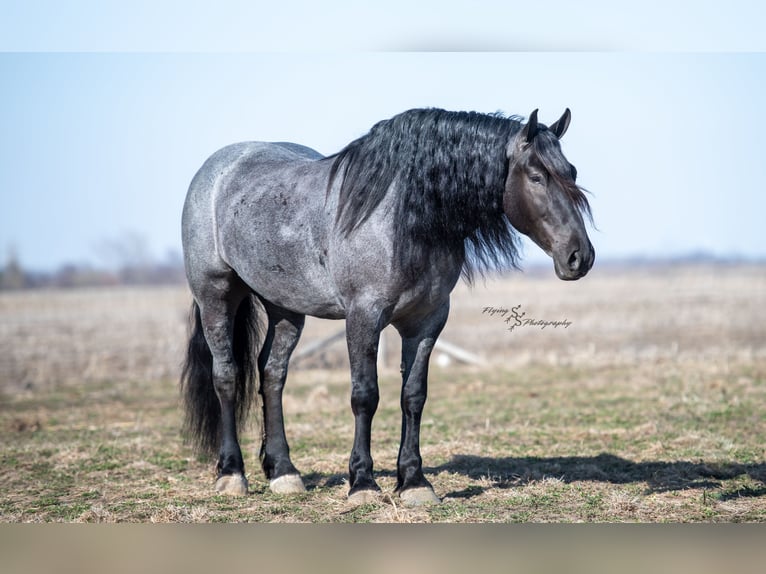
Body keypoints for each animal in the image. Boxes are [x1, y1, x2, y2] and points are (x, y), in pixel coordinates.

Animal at [180, 107, 594, 505]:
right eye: (537, 176)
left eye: (572, 172)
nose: (580, 257)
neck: (402, 219)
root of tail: (218, 168)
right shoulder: (363, 318)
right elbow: (365, 396)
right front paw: (362, 483)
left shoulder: (427, 321)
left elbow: (413, 396)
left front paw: (413, 481)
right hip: (216, 295)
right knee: (227, 376)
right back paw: (232, 474)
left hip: (285, 307)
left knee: (272, 374)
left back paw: (283, 472)